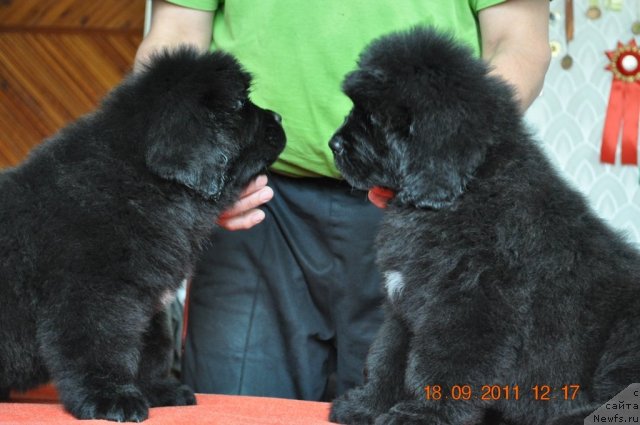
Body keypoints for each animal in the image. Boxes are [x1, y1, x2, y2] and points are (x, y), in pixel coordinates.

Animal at [0, 47, 284, 420]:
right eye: (238, 105)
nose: (279, 117)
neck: (144, 184)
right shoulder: (94, 293)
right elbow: (102, 344)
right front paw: (112, 399)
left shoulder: (147, 297)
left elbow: (151, 347)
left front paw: (157, 389)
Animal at [330, 27, 640, 424]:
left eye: (376, 118)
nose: (334, 143)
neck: (468, 189)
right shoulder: (403, 306)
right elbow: (388, 355)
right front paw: (365, 405)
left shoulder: (471, 304)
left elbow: (440, 366)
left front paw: (422, 414)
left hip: (626, 333)